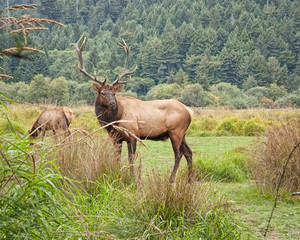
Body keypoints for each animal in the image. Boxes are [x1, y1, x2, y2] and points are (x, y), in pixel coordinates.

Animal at [74, 35, 193, 182]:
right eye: (103, 93)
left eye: (114, 93)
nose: (113, 104)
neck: (115, 119)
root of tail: (189, 111)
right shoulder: (116, 138)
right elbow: (117, 158)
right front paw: (117, 175)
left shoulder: (133, 134)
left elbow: (131, 158)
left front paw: (132, 178)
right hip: (183, 133)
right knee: (189, 153)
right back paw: (189, 180)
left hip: (176, 131)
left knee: (179, 154)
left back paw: (171, 180)